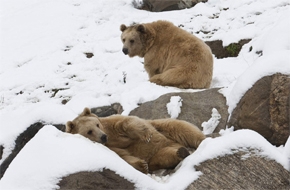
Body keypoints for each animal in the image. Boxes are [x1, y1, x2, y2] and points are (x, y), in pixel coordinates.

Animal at [66, 107, 206, 173]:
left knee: (183, 128)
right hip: (158, 153)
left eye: (97, 124)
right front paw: (142, 165)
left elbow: (128, 122)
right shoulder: (111, 148)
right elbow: (124, 156)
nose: (103, 136)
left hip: (164, 129)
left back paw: (203, 141)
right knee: (164, 156)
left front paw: (146, 135)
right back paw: (181, 152)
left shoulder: (113, 125)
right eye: (89, 131)